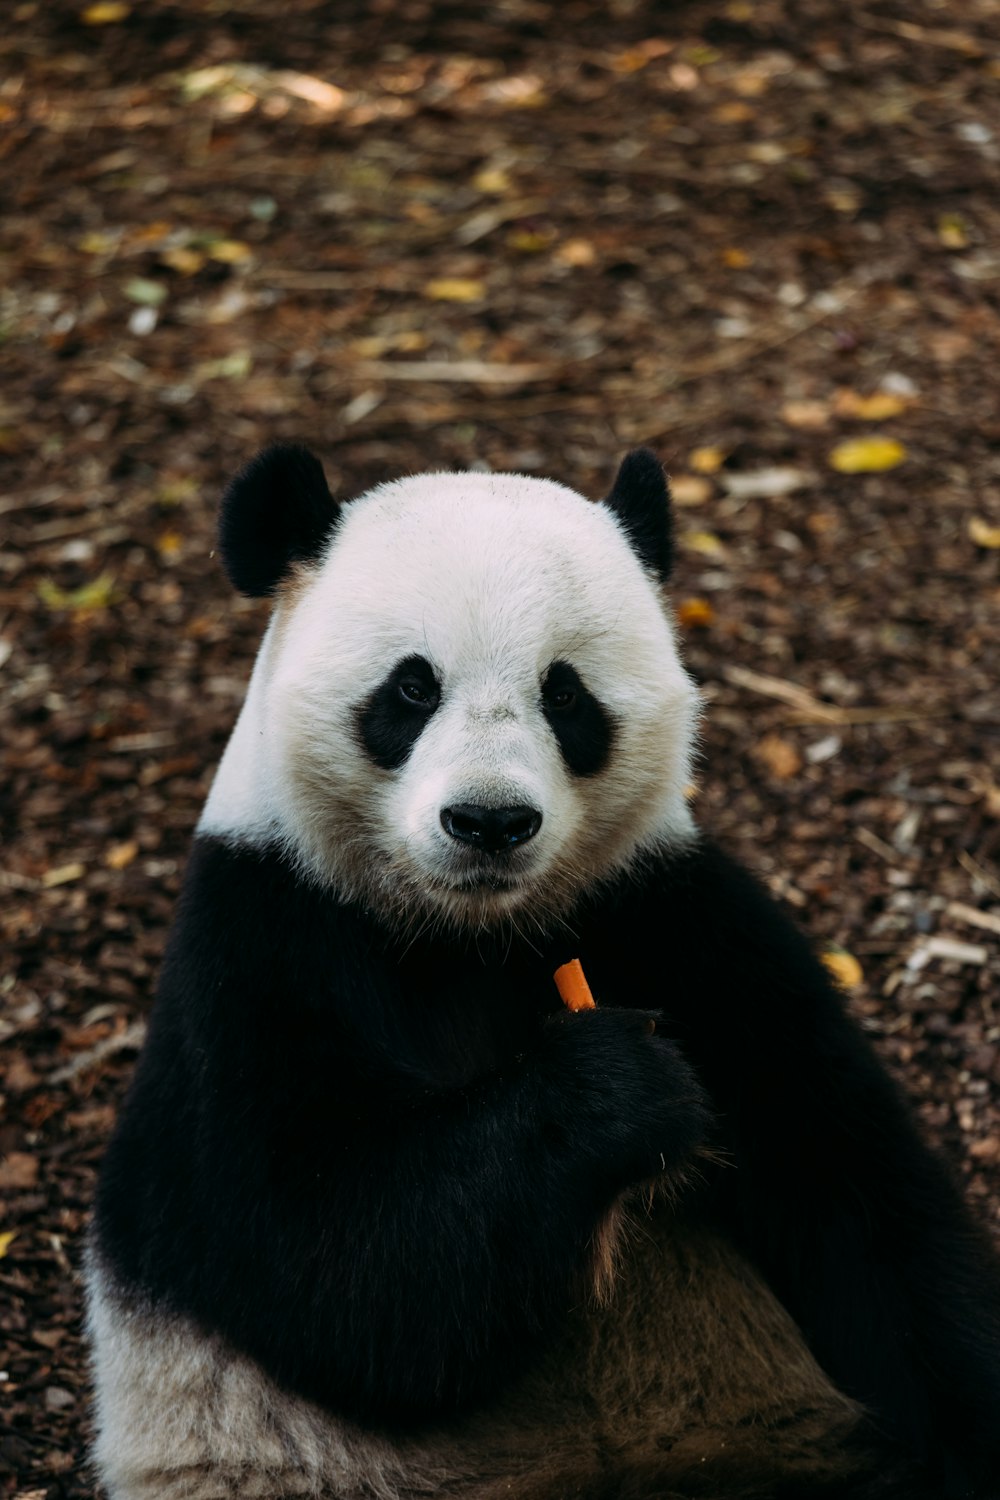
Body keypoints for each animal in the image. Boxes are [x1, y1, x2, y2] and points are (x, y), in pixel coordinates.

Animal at [88, 447, 1000, 1500]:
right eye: (410, 690)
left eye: (565, 695)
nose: (489, 822)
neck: (472, 935)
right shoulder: (264, 939)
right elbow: (327, 1263)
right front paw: (613, 1091)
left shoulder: (665, 911)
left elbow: (857, 1192)